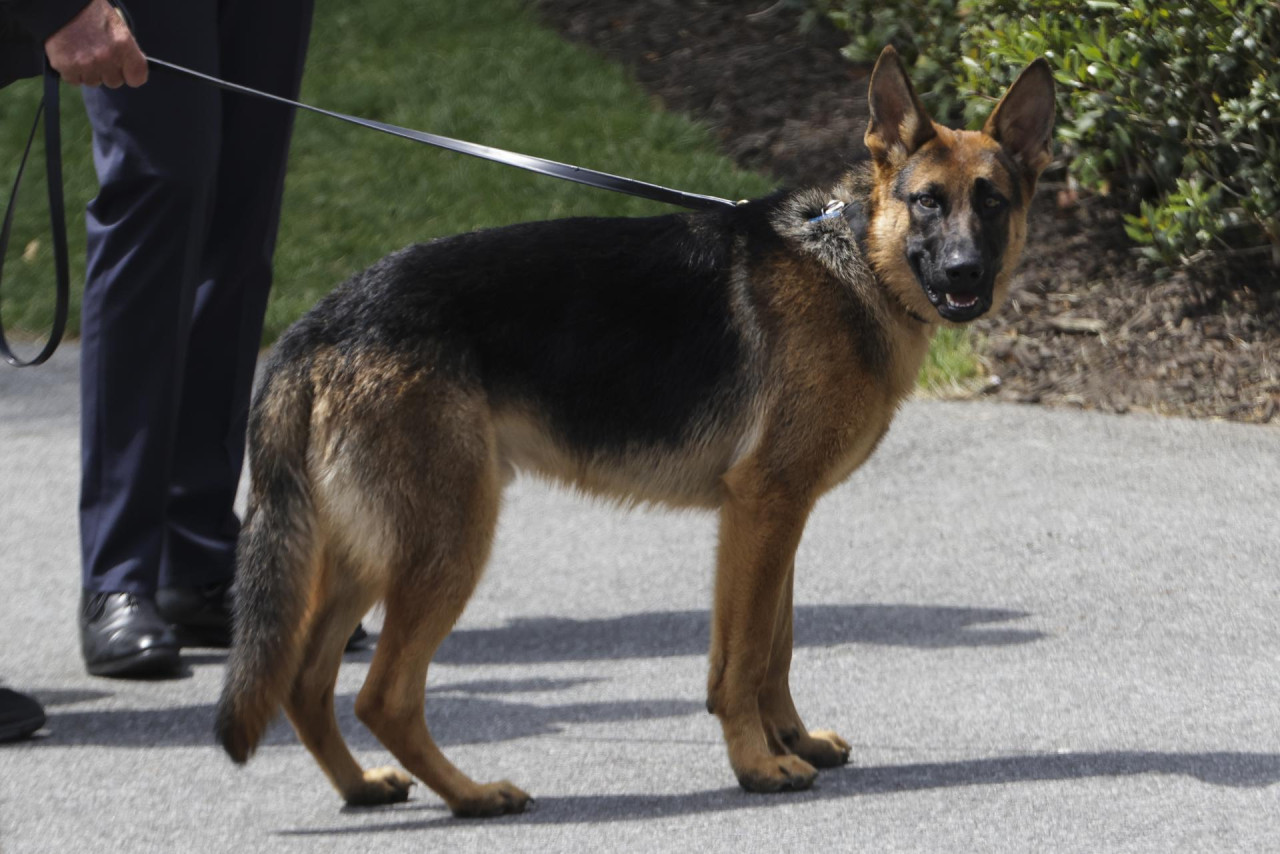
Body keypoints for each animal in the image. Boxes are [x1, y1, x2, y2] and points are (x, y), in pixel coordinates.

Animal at [217, 45, 1049, 814]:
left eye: (992, 202)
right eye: (928, 203)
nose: (967, 272)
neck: (856, 263)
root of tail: (316, 326)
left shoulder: (778, 514)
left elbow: (776, 645)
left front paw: (791, 738)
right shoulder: (765, 507)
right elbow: (744, 658)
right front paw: (758, 763)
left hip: (370, 552)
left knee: (304, 680)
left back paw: (363, 788)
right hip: (447, 543)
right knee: (381, 694)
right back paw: (474, 795)